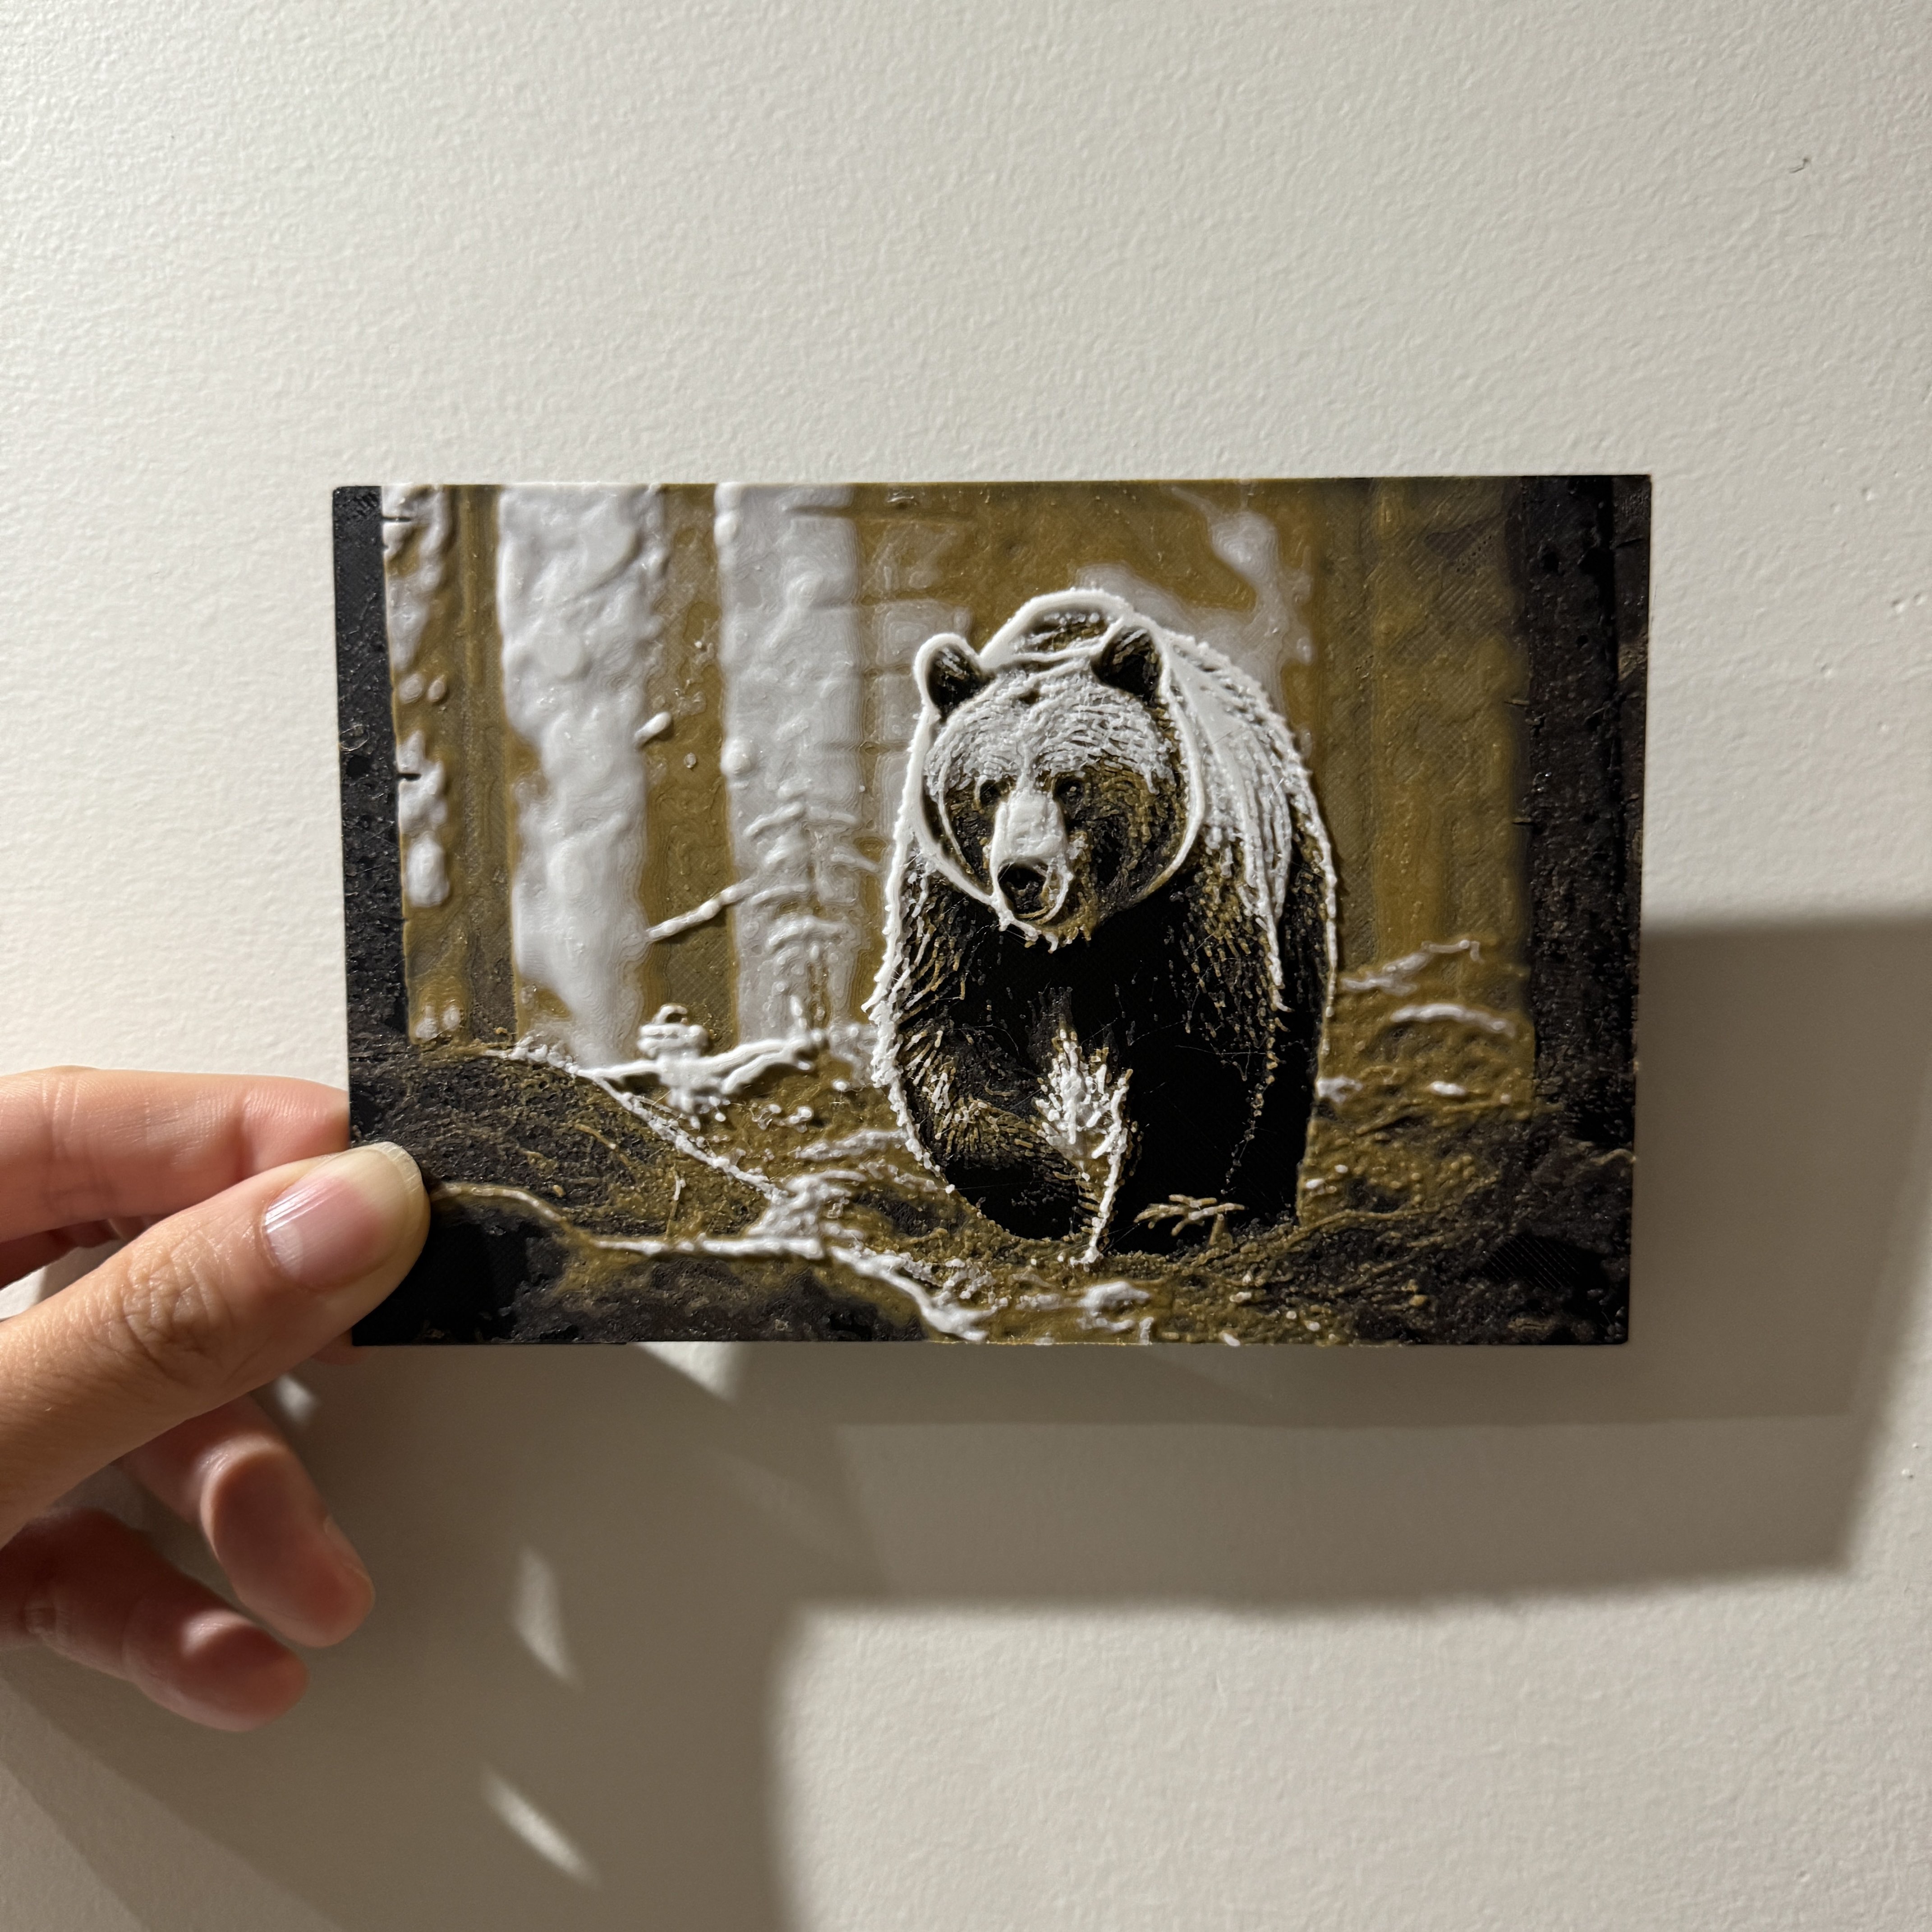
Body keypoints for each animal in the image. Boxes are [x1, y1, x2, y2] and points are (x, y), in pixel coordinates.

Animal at [868, 588, 1335, 1257]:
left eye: (1071, 784)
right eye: (988, 788)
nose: (1022, 872)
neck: (1075, 934)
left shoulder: (1181, 905)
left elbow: (1198, 1052)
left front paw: (1144, 1223)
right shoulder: (960, 912)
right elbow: (950, 1032)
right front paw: (1058, 1199)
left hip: (1294, 866)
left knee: (1292, 1046)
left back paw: (1261, 1212)